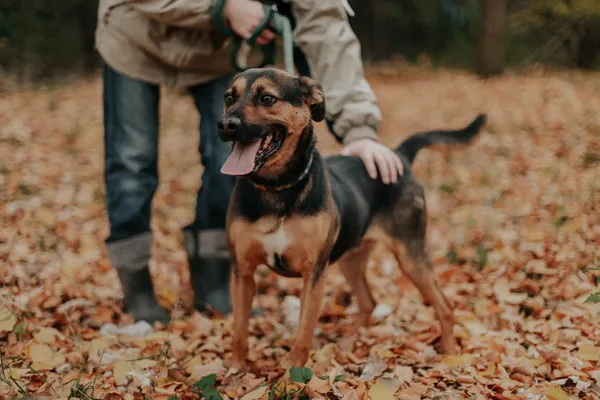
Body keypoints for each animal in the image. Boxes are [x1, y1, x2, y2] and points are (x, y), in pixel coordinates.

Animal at [218, 67, 486, 370]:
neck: (277, 190)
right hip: (350, 258)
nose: (225, 125)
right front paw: (236, 369)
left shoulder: (314, 274)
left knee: (445, 307)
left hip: (411, 255)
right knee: (369, 302)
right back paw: (348, 338)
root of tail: (397, 156)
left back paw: (451, 356)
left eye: (267, 98)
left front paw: (293, 373)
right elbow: (239, 330)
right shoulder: (242, 272)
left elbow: (304, 332)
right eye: (229, 97)